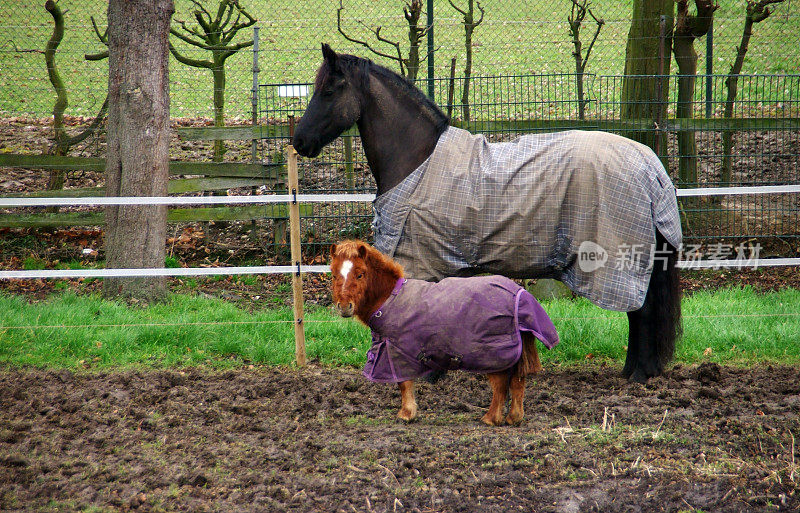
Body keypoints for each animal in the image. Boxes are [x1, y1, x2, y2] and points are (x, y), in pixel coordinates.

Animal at [294, 44, 680, 382]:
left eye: (329, 90)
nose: (299, 141)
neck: (418, 161)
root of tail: (649, 164)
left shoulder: (425, 261)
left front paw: (427, 374)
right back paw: (634, 371)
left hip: (622, 261)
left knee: (641, 310)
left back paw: (638, 374)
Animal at [332, 239, 552, 424]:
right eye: (334, 274)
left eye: (360, 274)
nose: (344, 307)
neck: (390, 298)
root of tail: (519, 294)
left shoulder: (396, 352)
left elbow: (403, 383)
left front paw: (406, 414)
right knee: (517, 381)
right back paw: (514, 418)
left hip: (493, 354)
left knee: (500, 384)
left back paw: (491, 418)